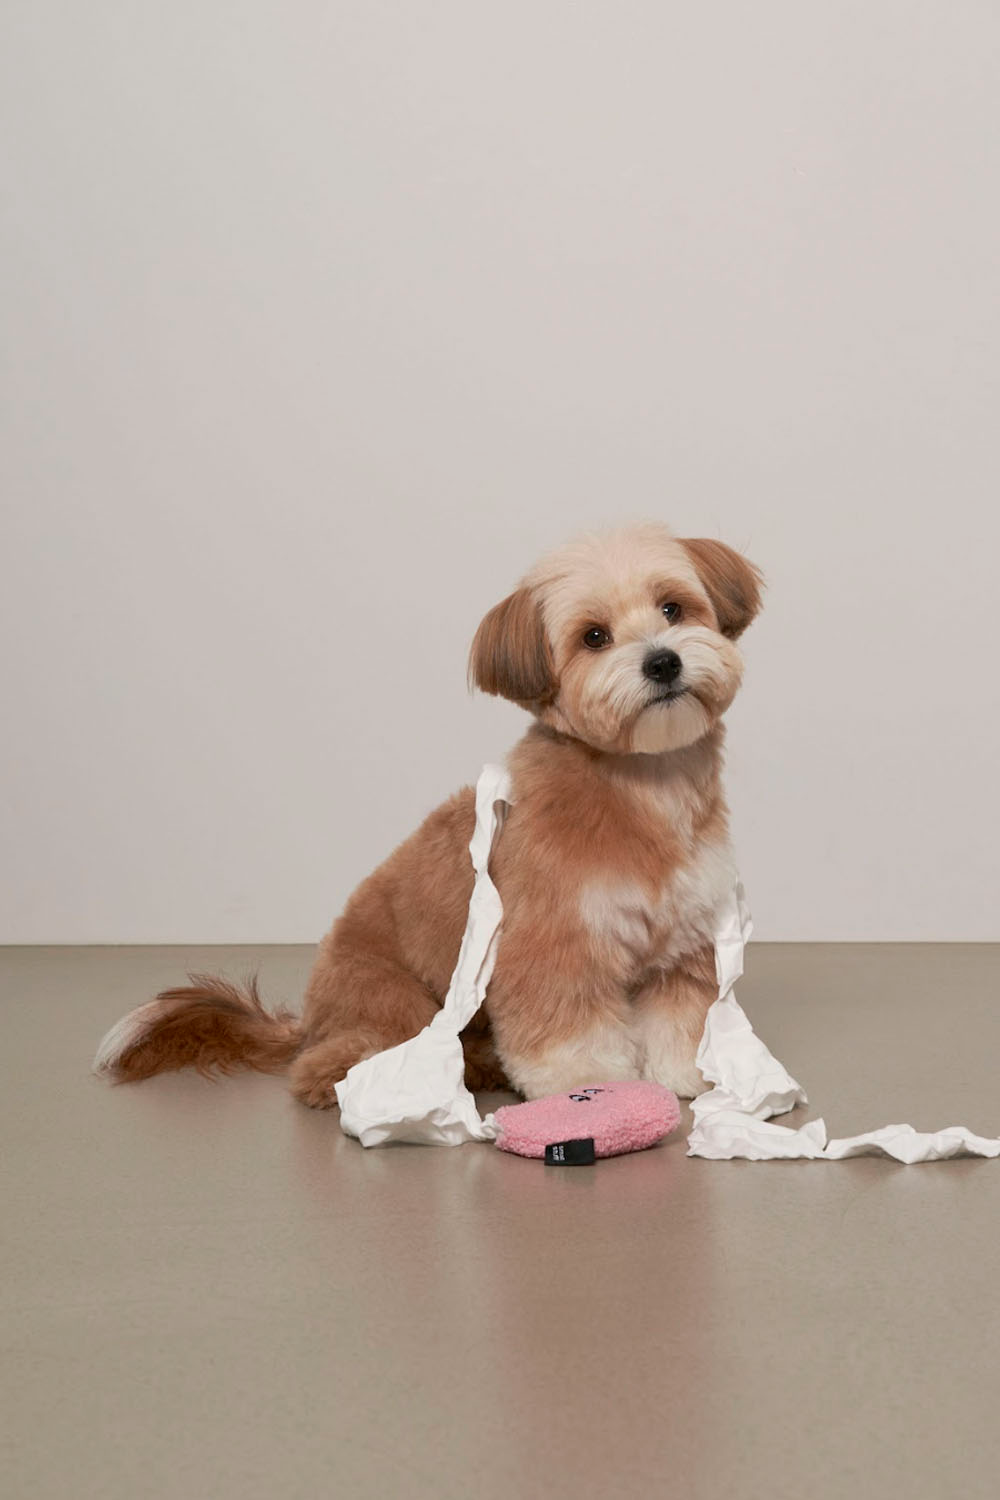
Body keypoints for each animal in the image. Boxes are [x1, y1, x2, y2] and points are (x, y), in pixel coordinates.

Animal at [95, 523, 762, 1105]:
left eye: (673, 609)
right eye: (594, 637)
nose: (662, 662)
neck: (643, 788)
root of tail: (310, 1019)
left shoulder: (678, 948)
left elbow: (678, 1020)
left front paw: (685, 1076)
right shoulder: (552, 946)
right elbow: (568, 1032)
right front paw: (591, 1085)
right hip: (397, 1003)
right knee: (328, 1067)